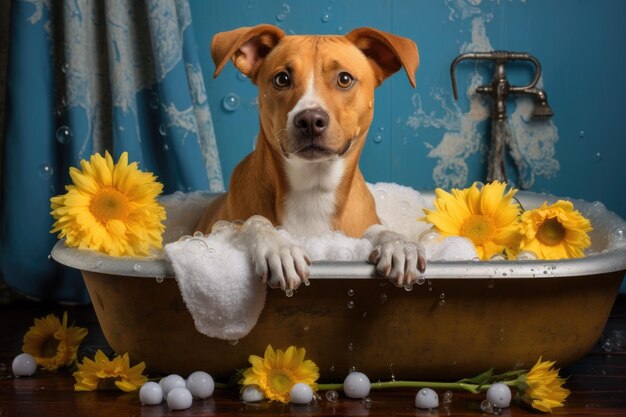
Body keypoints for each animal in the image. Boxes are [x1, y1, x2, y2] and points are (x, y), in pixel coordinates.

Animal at [197, 22, 426, 290]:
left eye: (344, 79)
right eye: (282, 79)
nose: (309, 120)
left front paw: (398, 243)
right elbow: (251, 222)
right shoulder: (220, 231)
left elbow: (377, 229)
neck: (314, 186)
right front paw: (278, 246)